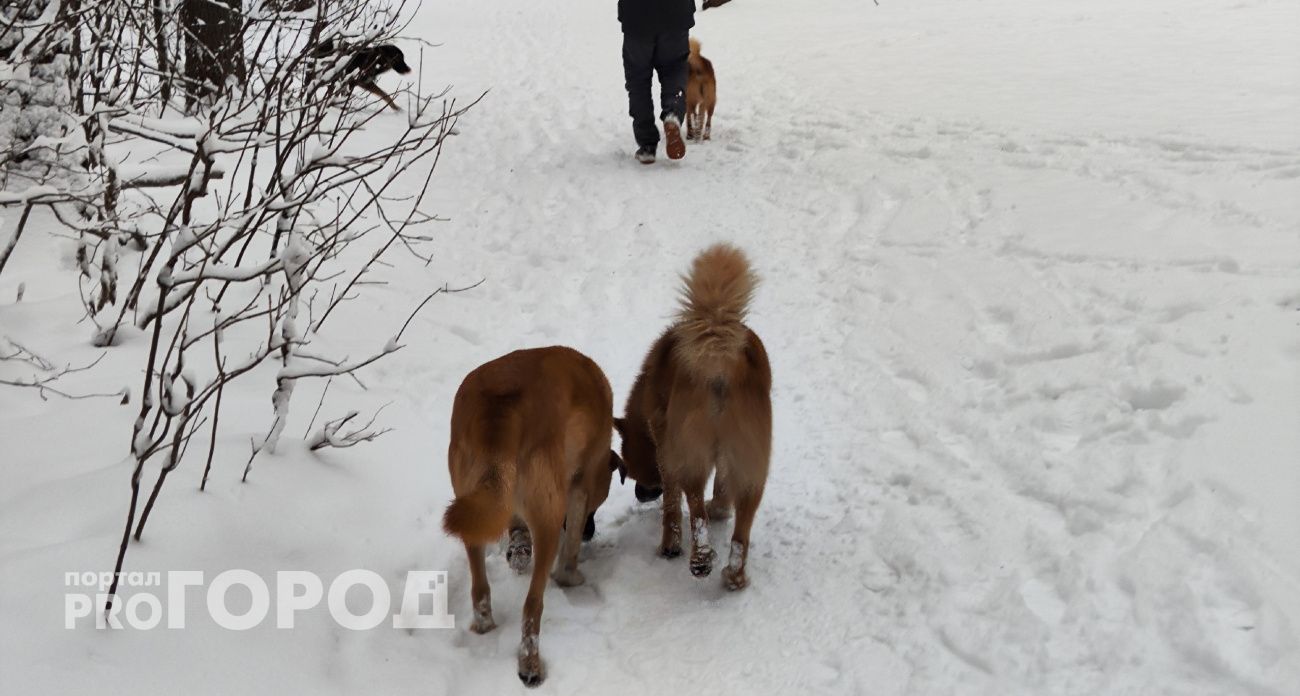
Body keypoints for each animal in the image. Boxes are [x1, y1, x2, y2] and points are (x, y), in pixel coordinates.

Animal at [441, 346, 624, 686]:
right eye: (597, 505)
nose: (591, 532)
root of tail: (500, 406)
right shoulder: (580, 488)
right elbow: (570, 548)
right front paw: (571, 576)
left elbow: (516, 530)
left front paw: (518, 550)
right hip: (549, 516)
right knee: (532, 606)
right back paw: (530, 666)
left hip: (470, 506)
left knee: (480, 588)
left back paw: (485, 627)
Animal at [618, 243, 769, 588]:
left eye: (630, 469)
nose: (641, 495)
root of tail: (718, 358)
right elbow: (722, 491)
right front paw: (721, 510)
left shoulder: (666, 451)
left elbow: (672, 508)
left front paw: (669, 546)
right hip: (751, 467)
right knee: (741, 530)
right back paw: (734, 576)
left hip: (691, 457)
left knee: (696, 513)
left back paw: (700, 561)